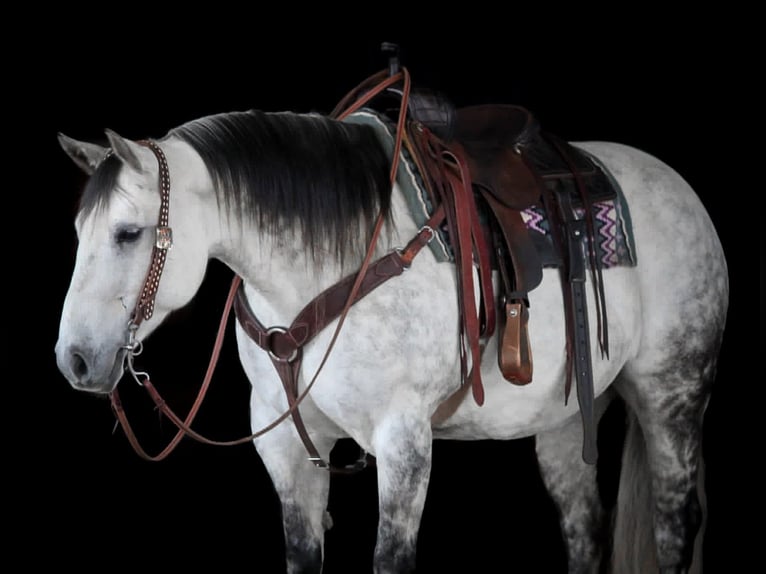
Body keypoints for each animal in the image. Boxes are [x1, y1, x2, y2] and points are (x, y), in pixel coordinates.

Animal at [54, 67, 728, 573]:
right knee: (585, 527)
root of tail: (682, 192)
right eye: (80, 232)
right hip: (565, 417)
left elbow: (391, 557)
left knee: (676, 525)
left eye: (128, 233)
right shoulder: (284, 447)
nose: (75, 360)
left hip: (672, 392)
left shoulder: (403, 441)